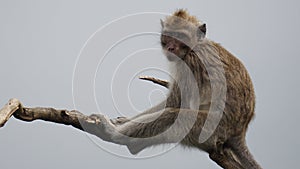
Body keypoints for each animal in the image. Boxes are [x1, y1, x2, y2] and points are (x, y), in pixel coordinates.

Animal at [92, 9, 262, 169]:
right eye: (168, 36)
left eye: (180, 36)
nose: (171, 47)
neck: (194, 46)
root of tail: (238, 132)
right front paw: (123, 120)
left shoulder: (190, 64)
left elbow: (174, 102)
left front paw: (120, 125)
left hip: (209, 132)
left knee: (172, 116)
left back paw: (114, 134)